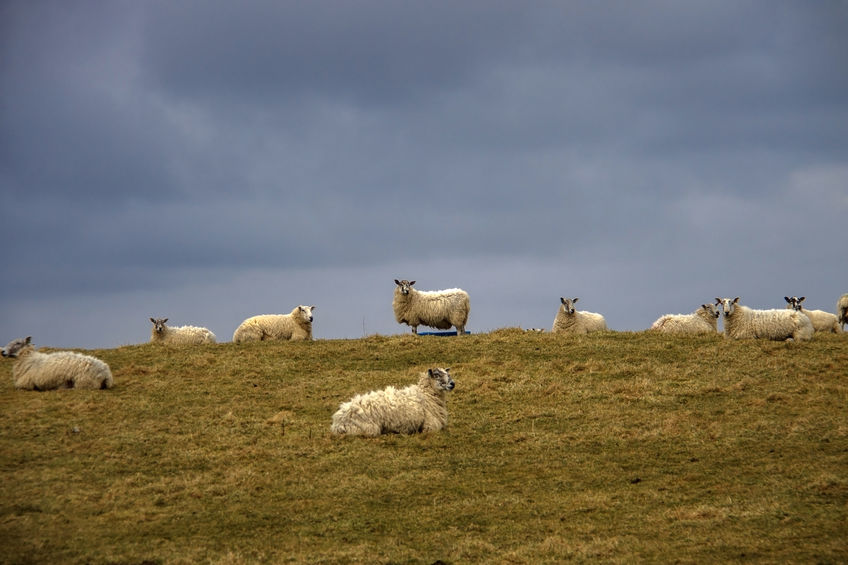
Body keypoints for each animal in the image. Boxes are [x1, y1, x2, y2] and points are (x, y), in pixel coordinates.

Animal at [330, 366, 458, 436]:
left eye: (448, 374)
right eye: (437, 375)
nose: (453, 384)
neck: (425, 395)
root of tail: (338, 422)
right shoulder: (430, 426)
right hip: (369, 428)